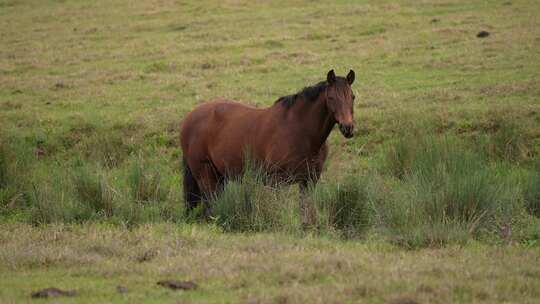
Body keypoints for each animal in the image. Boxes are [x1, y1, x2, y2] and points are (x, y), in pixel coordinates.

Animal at [181, 69, 356, 223]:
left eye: (352, 97)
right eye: (331, 97)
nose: (348, 127)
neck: (301, 131)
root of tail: (190, 117)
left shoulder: (309, 181)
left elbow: (305, 209)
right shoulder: (276, 181)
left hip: (219, 176)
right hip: (205, 174)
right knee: (210, 202)